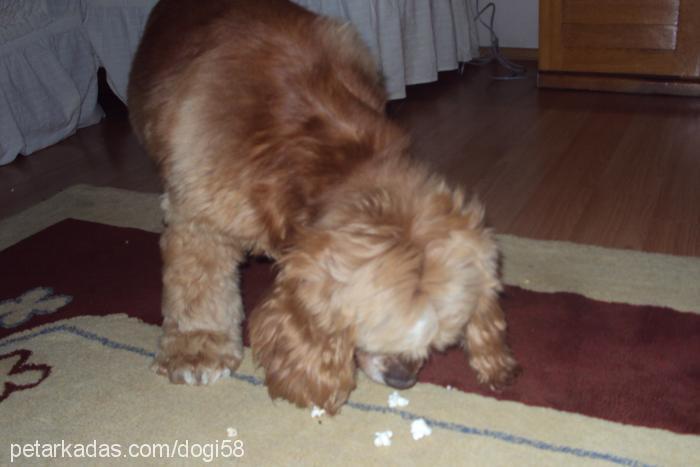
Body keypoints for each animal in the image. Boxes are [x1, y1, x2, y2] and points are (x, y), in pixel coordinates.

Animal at [127, 0, 520, 414]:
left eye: (437, 335)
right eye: (375, 327)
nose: (403, 378)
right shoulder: (201, 212)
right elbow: (198, 283)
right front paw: (197, 349)